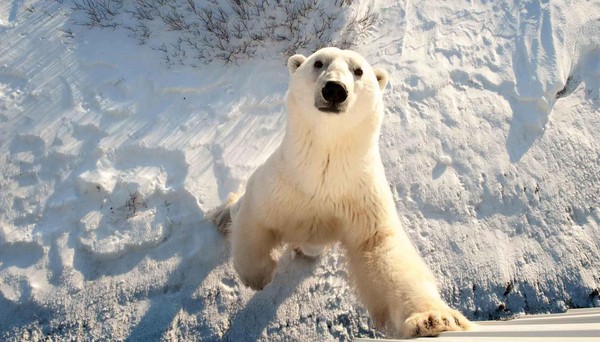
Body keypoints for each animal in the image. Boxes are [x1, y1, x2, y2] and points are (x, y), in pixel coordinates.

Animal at [212, 46, 474, 338]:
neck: (324, 167)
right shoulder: (282, 182)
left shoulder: (359, 194)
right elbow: (255, 217)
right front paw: (258, 276)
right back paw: (223, 217)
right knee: (238, 207)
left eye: (358, 70)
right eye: (318, 62)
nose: (335, 90)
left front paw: (433, 319)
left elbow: (380, 246)